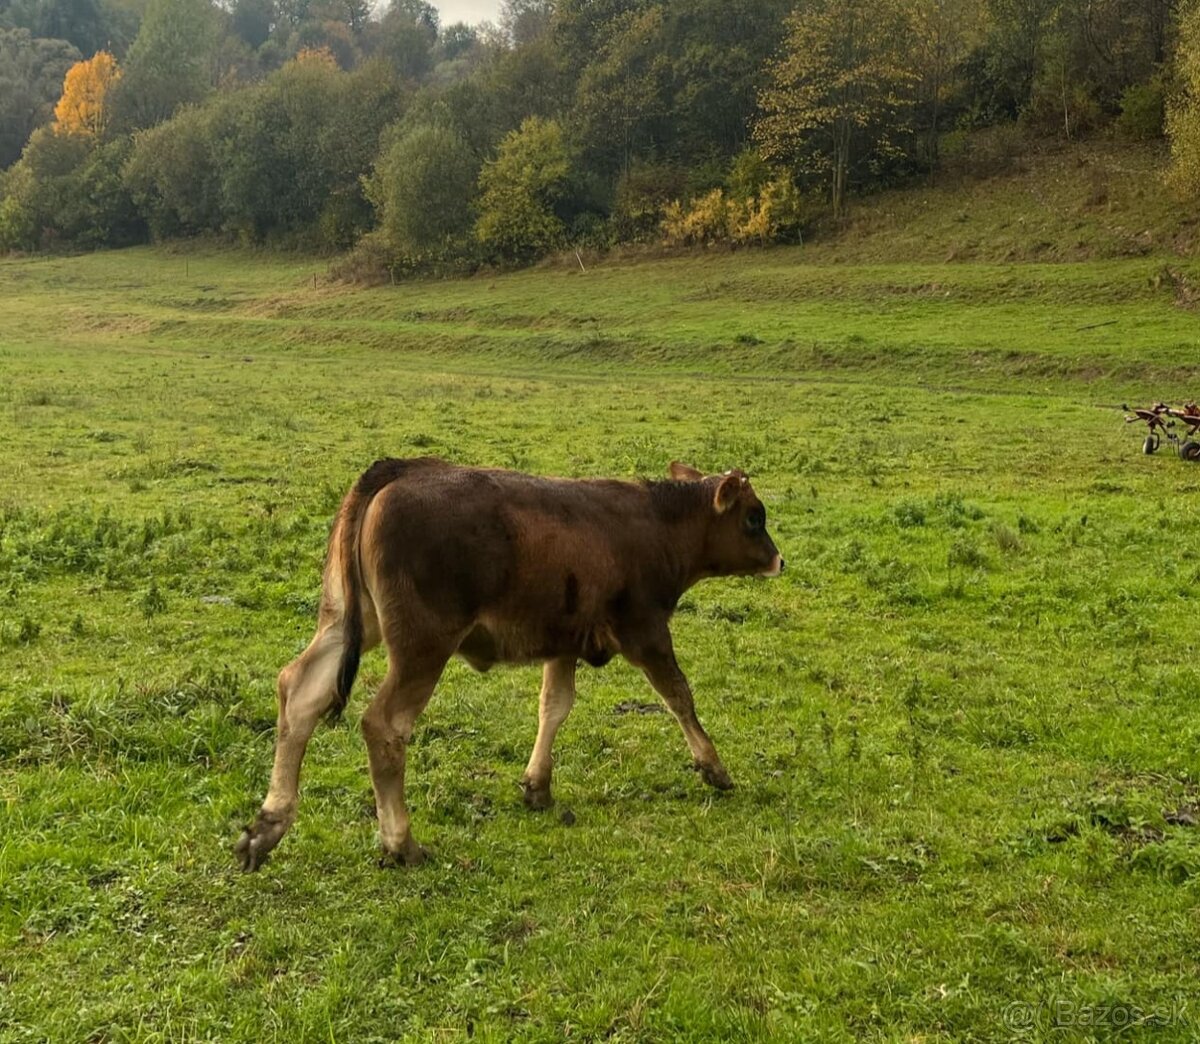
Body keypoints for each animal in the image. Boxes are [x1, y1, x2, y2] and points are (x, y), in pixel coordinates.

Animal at [235, 460, 782, 873]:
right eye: (755, 517)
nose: (780, 560)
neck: (656, 524)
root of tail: (399, 469)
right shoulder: (645, 630)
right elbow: (678, 695)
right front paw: (713, 766)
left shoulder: (565, 641)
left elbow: (554, 706)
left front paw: (537, 785)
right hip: (422, 645)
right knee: (384, 724)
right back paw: (400, 842)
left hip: (347, 619)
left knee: (300, 692)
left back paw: (268, 825)